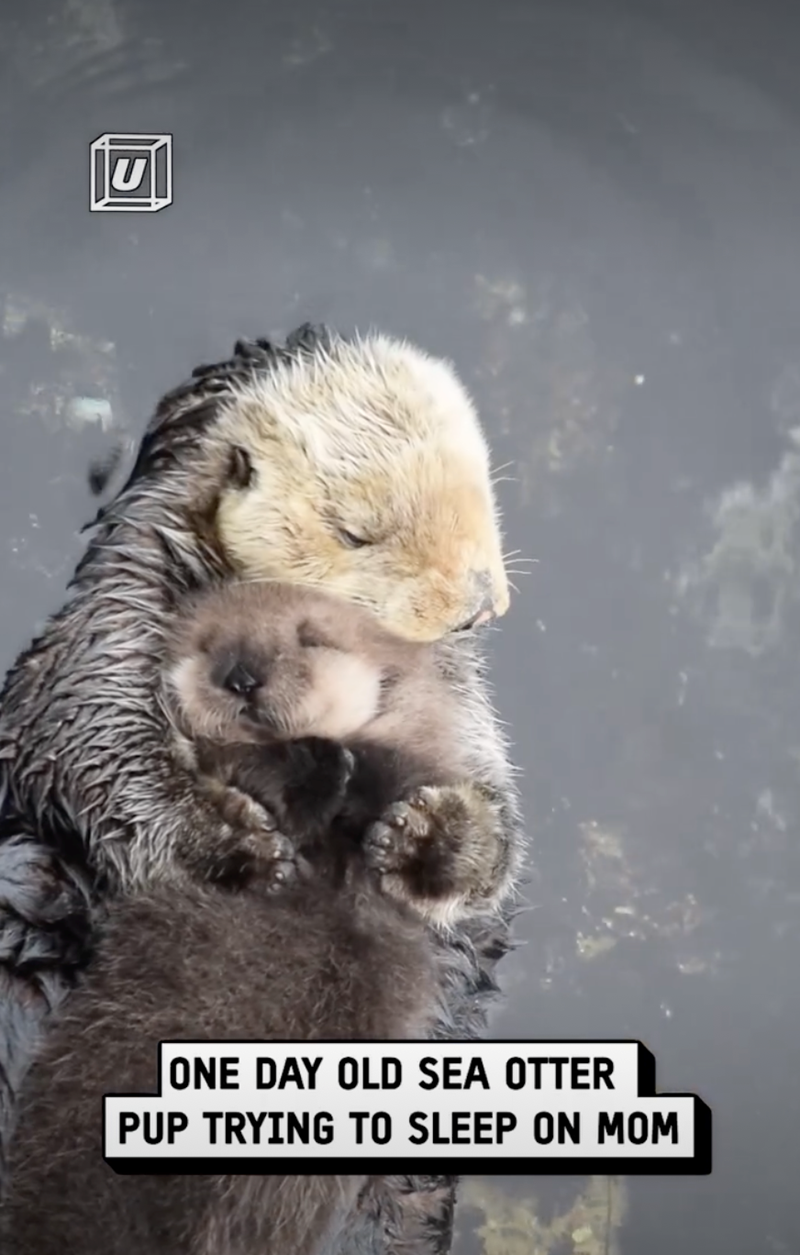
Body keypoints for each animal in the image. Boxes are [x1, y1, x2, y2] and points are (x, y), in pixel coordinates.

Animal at [0, 326, 523, 1252]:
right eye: (356, 531)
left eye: (483, 491)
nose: (475, 605)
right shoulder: (118, 612)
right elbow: (96, 737)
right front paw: (236, 844)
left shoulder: (452, 704)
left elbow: (489, 824)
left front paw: (429, 834)